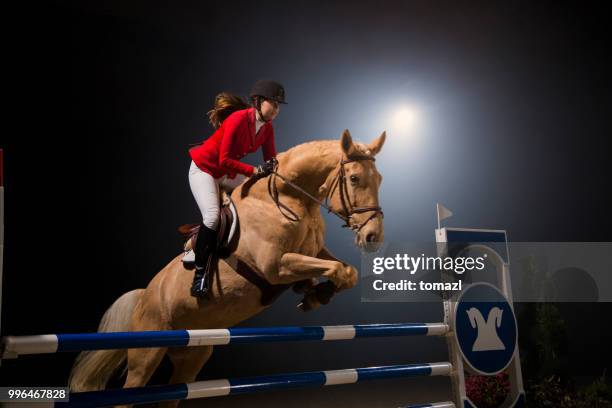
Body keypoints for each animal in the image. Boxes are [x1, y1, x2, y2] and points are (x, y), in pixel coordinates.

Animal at [69, 129, 384, 404]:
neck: (291, 199)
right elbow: (335, 269)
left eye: (379, 179)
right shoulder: (276, 266)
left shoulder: (314, 252)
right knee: (129, 392)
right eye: (354, 178)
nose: (373, 237)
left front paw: (315, 294)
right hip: (146, 354)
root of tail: (144, 296)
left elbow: (346, 271)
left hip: (192, 357)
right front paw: (315, 293)